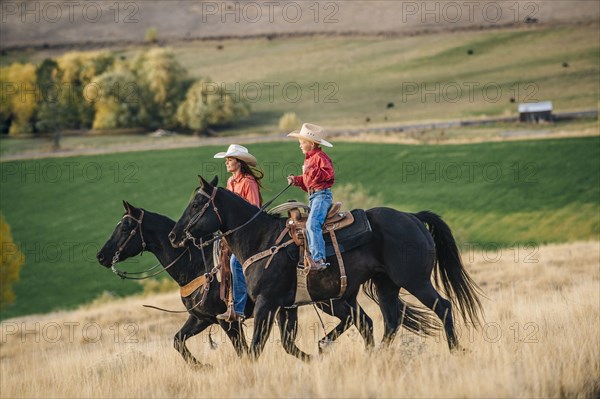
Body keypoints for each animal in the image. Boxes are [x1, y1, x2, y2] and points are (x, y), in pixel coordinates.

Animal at [169, 177, 482, 360]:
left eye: (197, 203)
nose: (174, 236)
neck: (261, 240)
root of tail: (412, 217)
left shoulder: (266, 304)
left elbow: (256, 346)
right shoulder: (285, 306)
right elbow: (285, 343)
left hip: (414, 281)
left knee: (442, 306)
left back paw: (457, 349)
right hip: (383, 286)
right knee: (387, 321)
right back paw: (376, 356)